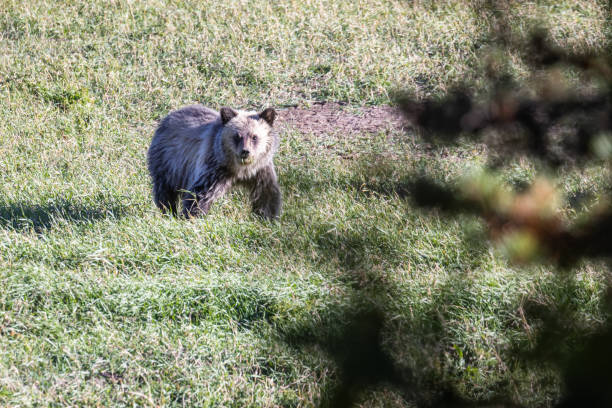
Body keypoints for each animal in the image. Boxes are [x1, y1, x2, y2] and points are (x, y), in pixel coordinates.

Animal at [147, 105, 280, 220]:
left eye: (254, 137)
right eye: (237, 136)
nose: (245, 151)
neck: (240, 170)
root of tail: (168, 117)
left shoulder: (260, 171)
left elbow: (266, 193)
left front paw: (268, 217)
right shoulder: (215, 169)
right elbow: (201, 194)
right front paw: (191, 216)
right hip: (169, 162)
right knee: (165, 190)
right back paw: (168, 211)